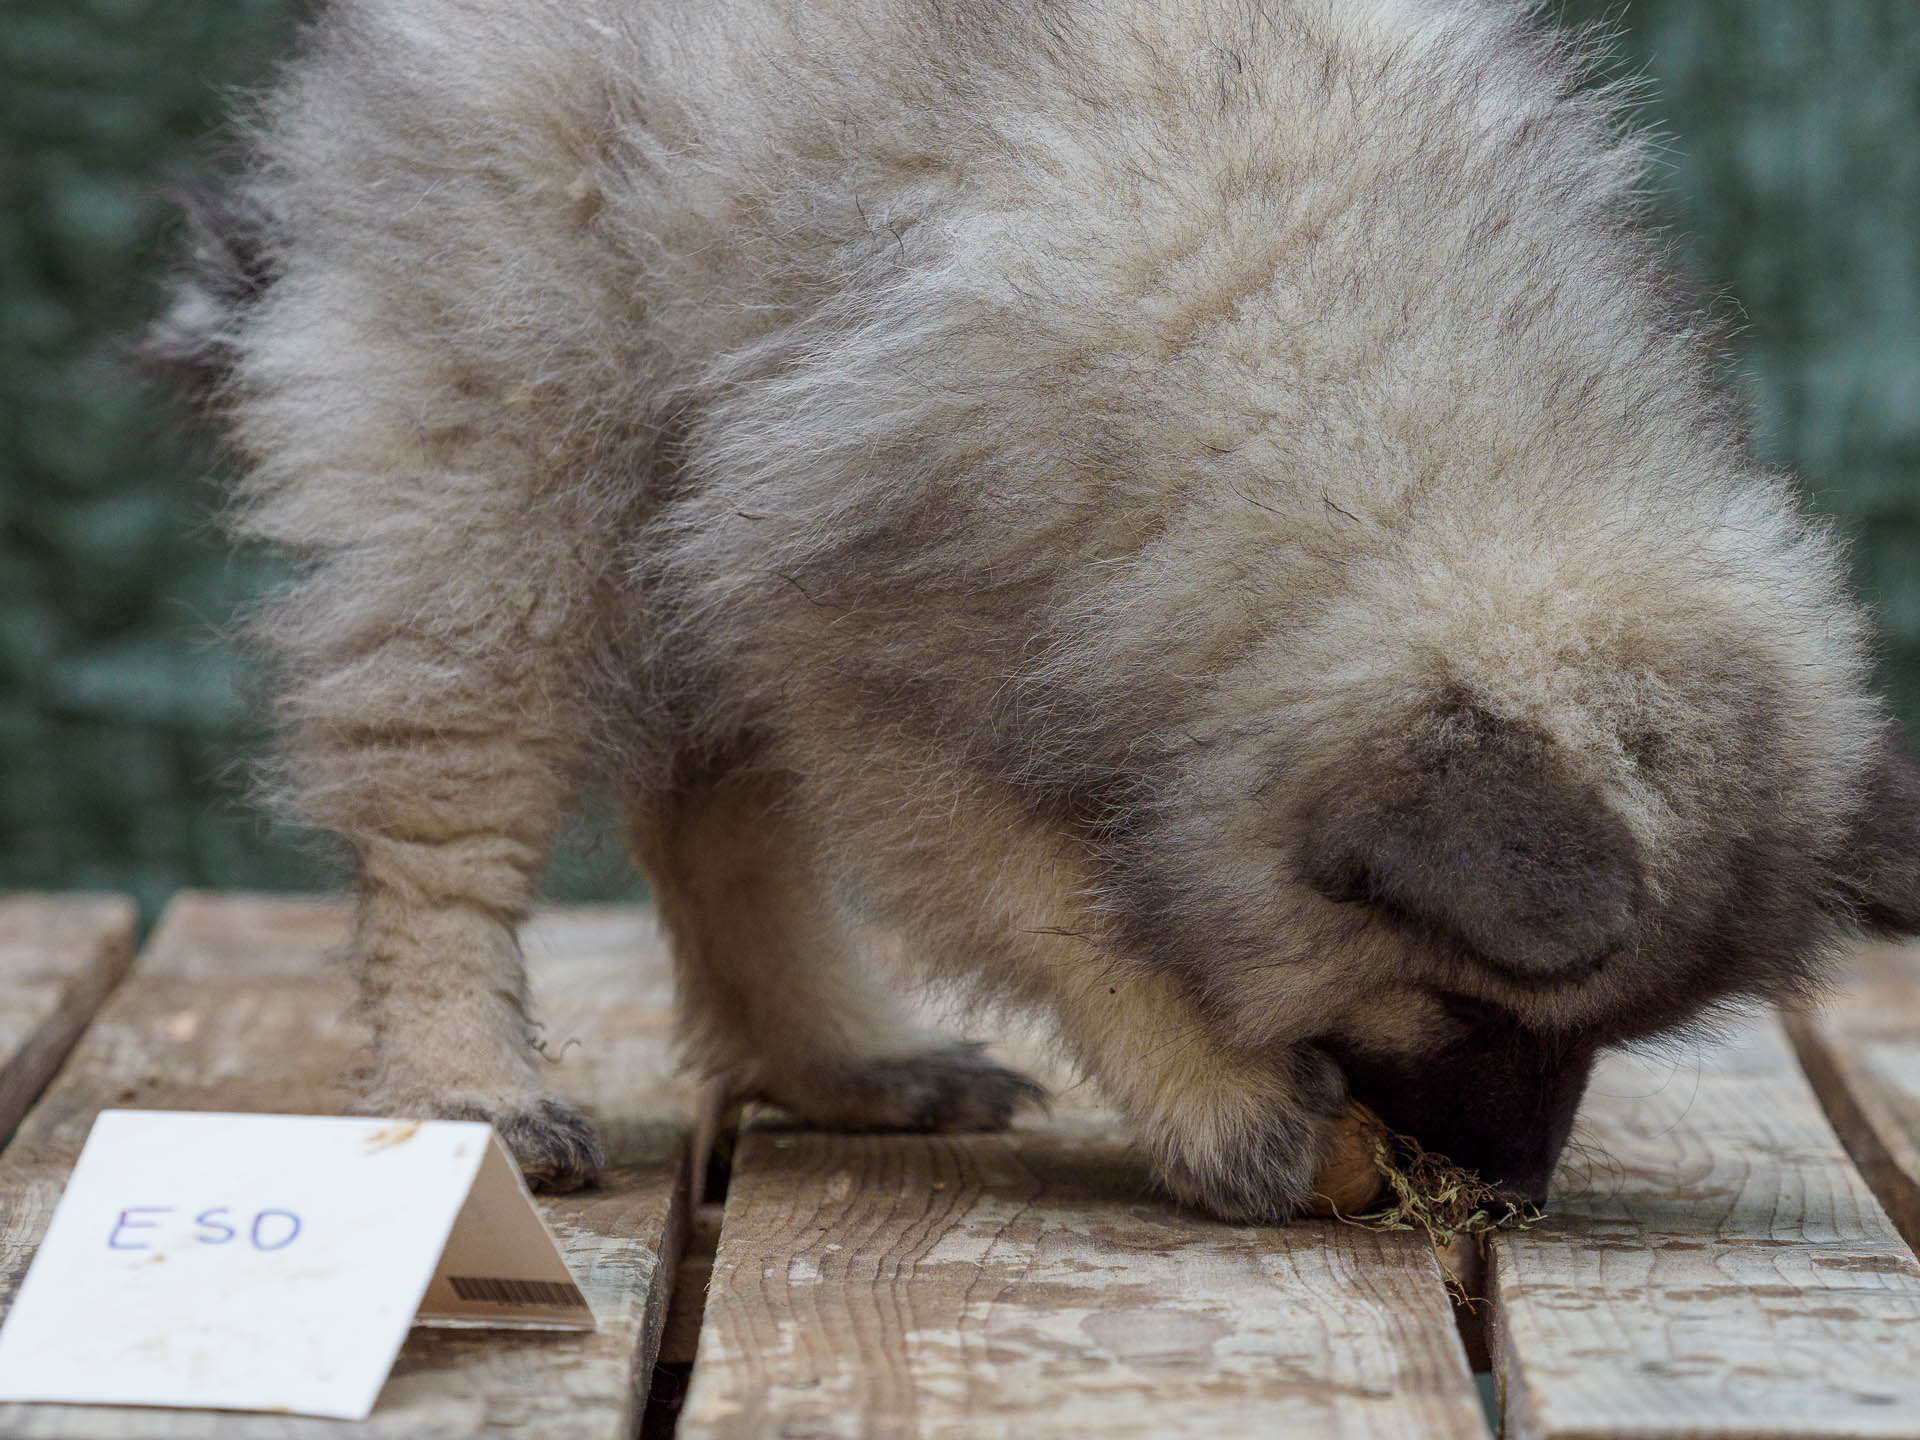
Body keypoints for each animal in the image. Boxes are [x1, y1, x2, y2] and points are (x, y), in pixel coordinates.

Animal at [157, 0, 1920, 1221]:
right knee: (444, 816)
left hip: (685, 516)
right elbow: (1067, 906)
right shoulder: (873, 665)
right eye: (1468, 1003)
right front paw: (1222, 1099)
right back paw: (471, 1088)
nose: (1510, 1200)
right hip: (512, 461)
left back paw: (839, 1058)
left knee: (715, 822)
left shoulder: (825, 607)